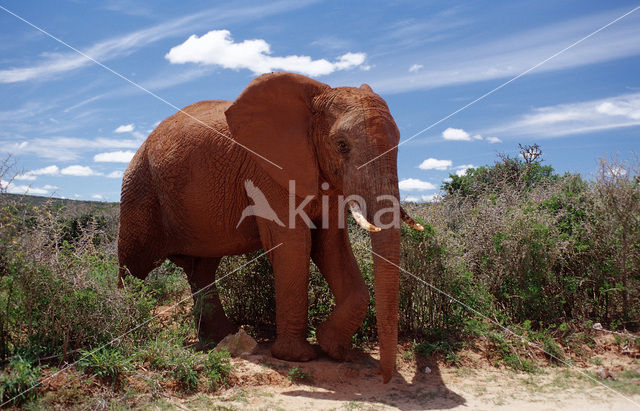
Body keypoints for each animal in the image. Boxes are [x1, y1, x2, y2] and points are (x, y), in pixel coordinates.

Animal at [117, 71, 424, 384]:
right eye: (342, 145)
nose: (383, 377)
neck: (314, 99)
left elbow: (331, 245)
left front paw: (335, 350)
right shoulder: (268, 172)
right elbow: (295, 244)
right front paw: (298, 357)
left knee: (202, 269)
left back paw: (219, 339)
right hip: (139, 187)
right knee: (133, 263)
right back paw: (125, 330)